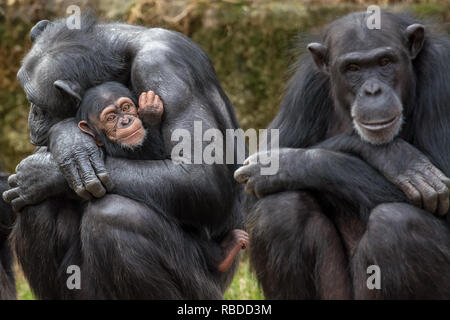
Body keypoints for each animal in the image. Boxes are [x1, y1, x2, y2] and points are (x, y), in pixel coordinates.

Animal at [2, 14, 243, 300]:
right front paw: (69, 141)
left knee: (117, 216)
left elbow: (202, 177)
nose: (32, 117)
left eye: (36, 103)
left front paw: (47, 171)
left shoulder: (164, 68)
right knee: (37, 207)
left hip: (205, 288)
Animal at [234, 10, 450, 300]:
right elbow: (250, 197)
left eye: (385, 62)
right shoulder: (306, 85)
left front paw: (281, 165)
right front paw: (395, 157)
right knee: (279, 209)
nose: (372, 90)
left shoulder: (443, 75)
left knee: (397, 223)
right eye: (353, 69)